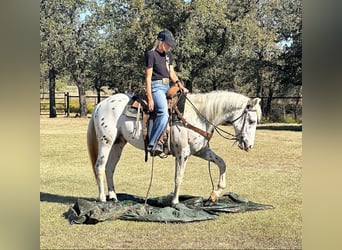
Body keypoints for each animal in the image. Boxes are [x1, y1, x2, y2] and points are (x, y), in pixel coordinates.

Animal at [87, 91, 262, 204]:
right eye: (251, 121)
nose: (249, 145)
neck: (199, 115)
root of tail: (100, 104)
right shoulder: (182, 153)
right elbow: (179, 177)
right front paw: (175, 202)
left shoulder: (201, 151)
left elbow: (222, 163)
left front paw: (215, 193)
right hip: (106, 141)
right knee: (100, 166)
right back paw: (102, 198)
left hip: (118, 143)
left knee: (109, 168)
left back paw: (113, 197)